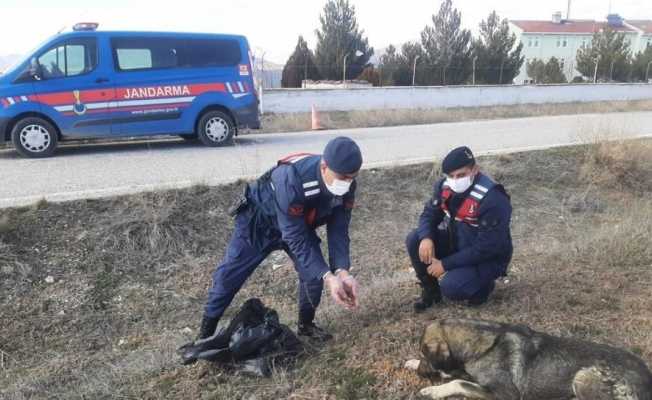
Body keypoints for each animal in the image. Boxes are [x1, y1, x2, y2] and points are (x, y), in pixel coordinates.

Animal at [404, 318, 648, 400]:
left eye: (426, 355)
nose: (420, 373)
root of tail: (647, 377)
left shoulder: (504, 393)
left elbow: (458, 382)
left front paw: (431, 390)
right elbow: (458, 376)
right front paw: (411, 362)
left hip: (583, 377)